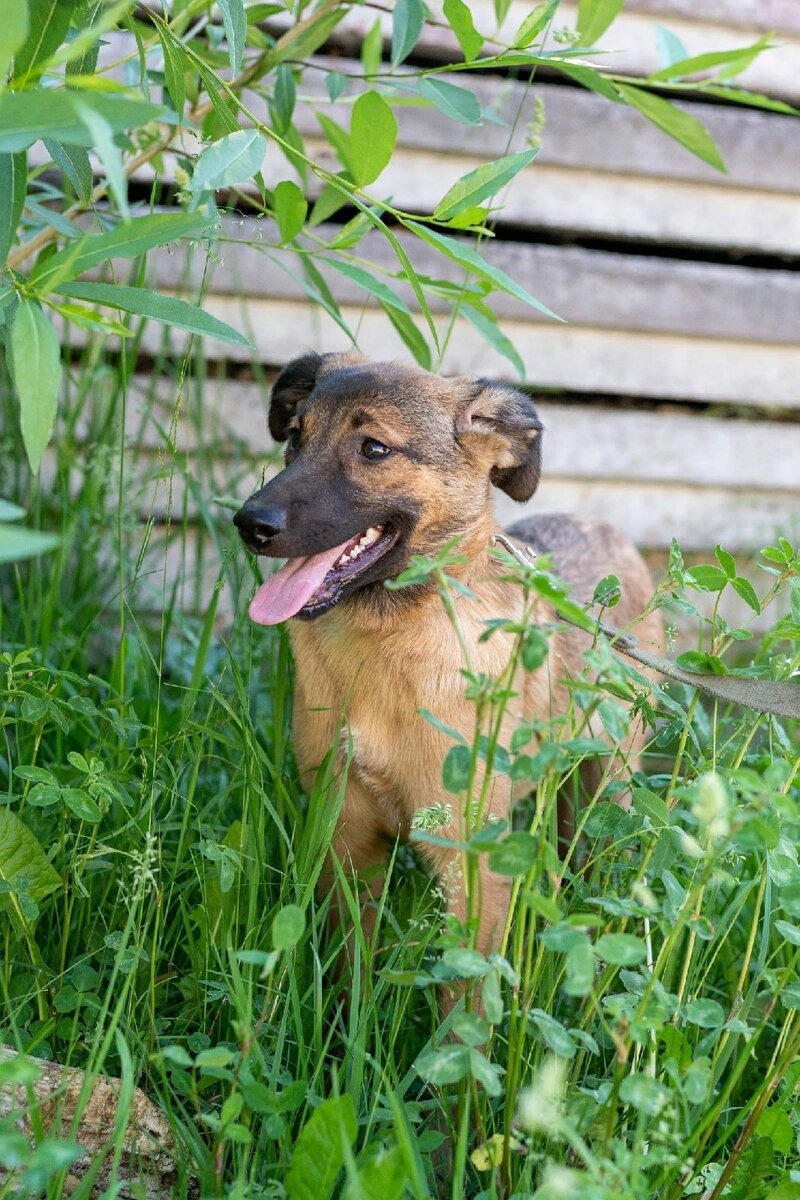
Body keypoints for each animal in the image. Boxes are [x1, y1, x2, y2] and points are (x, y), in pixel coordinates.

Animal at [232, 352, 662, 964]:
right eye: (295, 436)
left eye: (374, 448)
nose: (250, 524)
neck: (387, 641)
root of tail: (609, 531)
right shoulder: (344, 840)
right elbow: (350, 967)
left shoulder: (472, 867)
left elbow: (465, 985)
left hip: (610, 780)